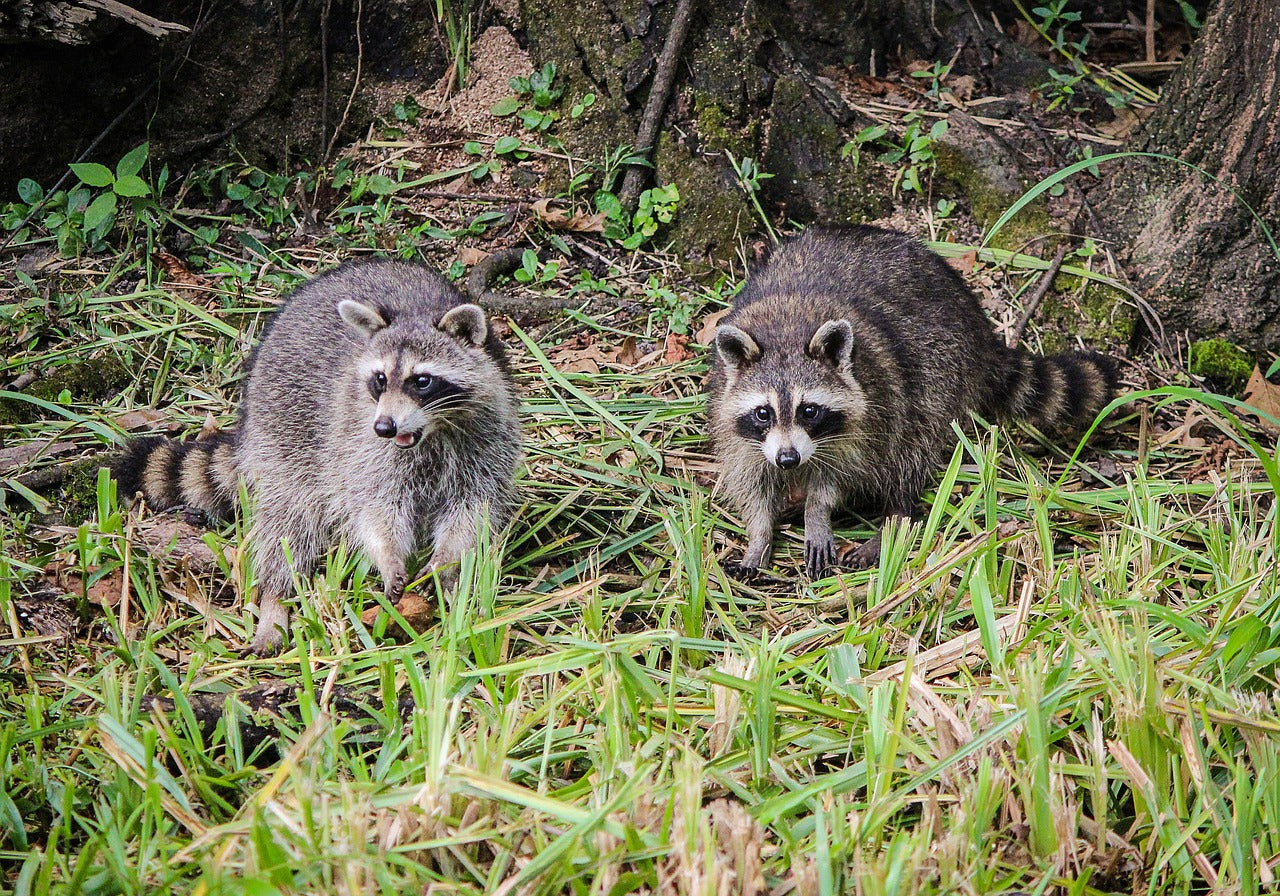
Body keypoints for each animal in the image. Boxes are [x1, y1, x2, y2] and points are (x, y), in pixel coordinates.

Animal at [116, 256, 519, 655]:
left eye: (422, 381)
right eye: (380, 379)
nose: (385, 427)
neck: (432, 432)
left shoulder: (488, 439)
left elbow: (473, 508)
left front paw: (445, 561)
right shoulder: (360, 445)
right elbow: (373, 508)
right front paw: (389, 556)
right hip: (282, 436)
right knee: (287, 524)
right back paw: (275, 600)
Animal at [706, 227, 1116, 578]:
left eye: (809, 411)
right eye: (764, 413)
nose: (788, 459)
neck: (785, 332)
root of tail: (977, 323)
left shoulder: (869, 410)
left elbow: (839, 474)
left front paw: (817, 513)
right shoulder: (736, 425)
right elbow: (751, 483)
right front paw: (759, 537)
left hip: (941, 367)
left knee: (911, 444)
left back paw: (895, 518)